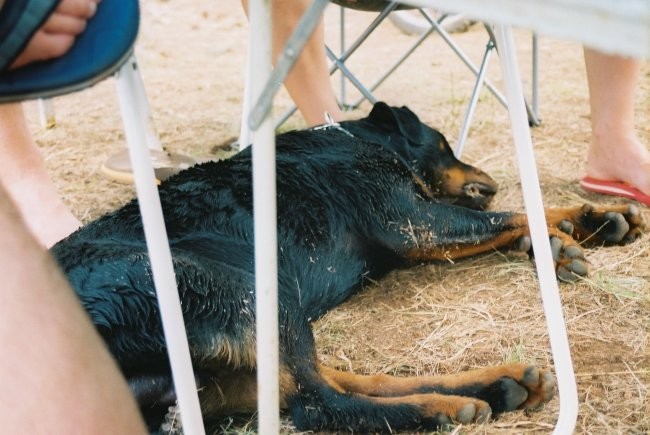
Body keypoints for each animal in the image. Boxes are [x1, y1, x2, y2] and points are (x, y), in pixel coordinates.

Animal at [52, 102, 644, 432]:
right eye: (443, 143)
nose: (492, 179)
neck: (351, 138)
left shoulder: (417, 230)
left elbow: (524, 216)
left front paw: (587, 225)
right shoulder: (410, 220)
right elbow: (521, 212)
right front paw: (576, 230)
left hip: (229, 362)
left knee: (331, 384)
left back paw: (497, 385)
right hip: (236, 290)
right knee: (320, 405)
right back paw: (444, 408)